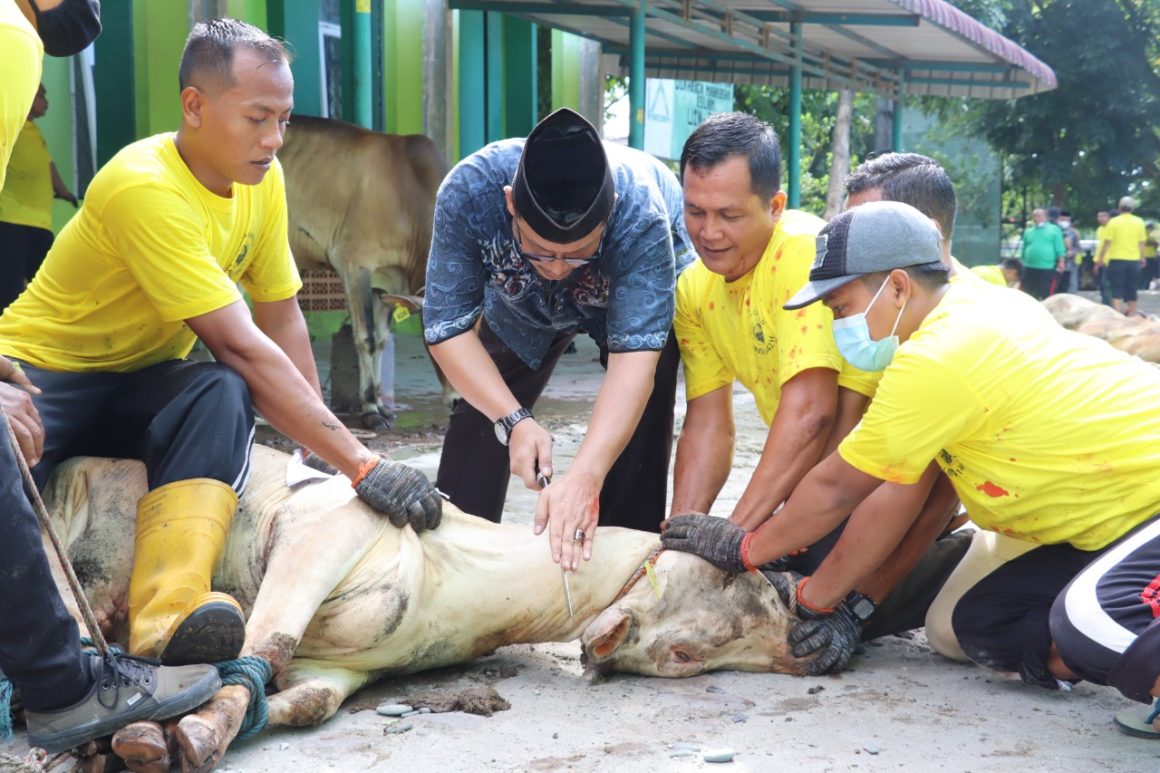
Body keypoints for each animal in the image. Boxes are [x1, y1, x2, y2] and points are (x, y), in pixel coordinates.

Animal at [42, 443, 807, 766]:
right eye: (744, 582)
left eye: (688, 658)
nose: (802, 650)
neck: (460, 568)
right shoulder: (316, 533)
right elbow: (263, 644)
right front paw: (174, 735)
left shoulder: (349, 667)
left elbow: (306, 698)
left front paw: (157, 737)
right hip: (102, 526)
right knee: (81, 602)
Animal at [278, 116, 454, 427]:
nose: (458, 400)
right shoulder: (355, 265)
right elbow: (367, 338)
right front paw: (371, 409)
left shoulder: (386, 283)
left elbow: (382, 340)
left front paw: (381, 406)